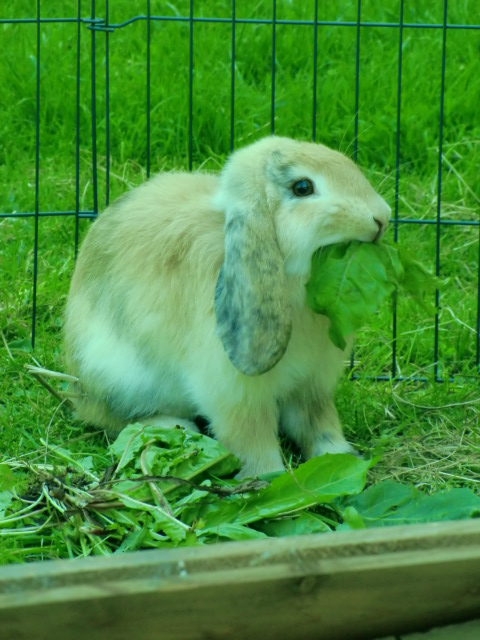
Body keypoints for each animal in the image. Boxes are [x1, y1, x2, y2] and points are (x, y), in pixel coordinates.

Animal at [62, 139, 390, 480]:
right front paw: (267, 477)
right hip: (119, 376)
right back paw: (173, 427)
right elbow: (251, 436)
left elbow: (318, 423)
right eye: (302, 187)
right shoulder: (235, 393)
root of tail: (75, 386)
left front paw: (341, 457)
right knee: (114, 418)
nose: (382, 217)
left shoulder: (312, 386)